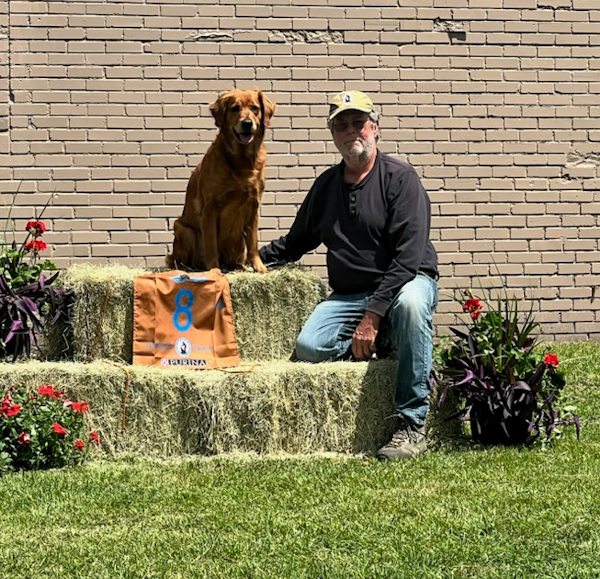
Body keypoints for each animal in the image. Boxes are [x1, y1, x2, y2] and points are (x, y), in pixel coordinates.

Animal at [165, 89, 276, 274]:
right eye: (235, 108)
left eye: (255, 108)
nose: (247, 123)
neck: (242, 161)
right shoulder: (210, 208)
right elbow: (211, 245)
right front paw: (214, 270)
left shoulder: (253, 206)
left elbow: (253, 242)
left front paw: (259, 267)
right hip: (184, 230)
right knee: (181, 259)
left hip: (237, 239)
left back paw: (239, 267)